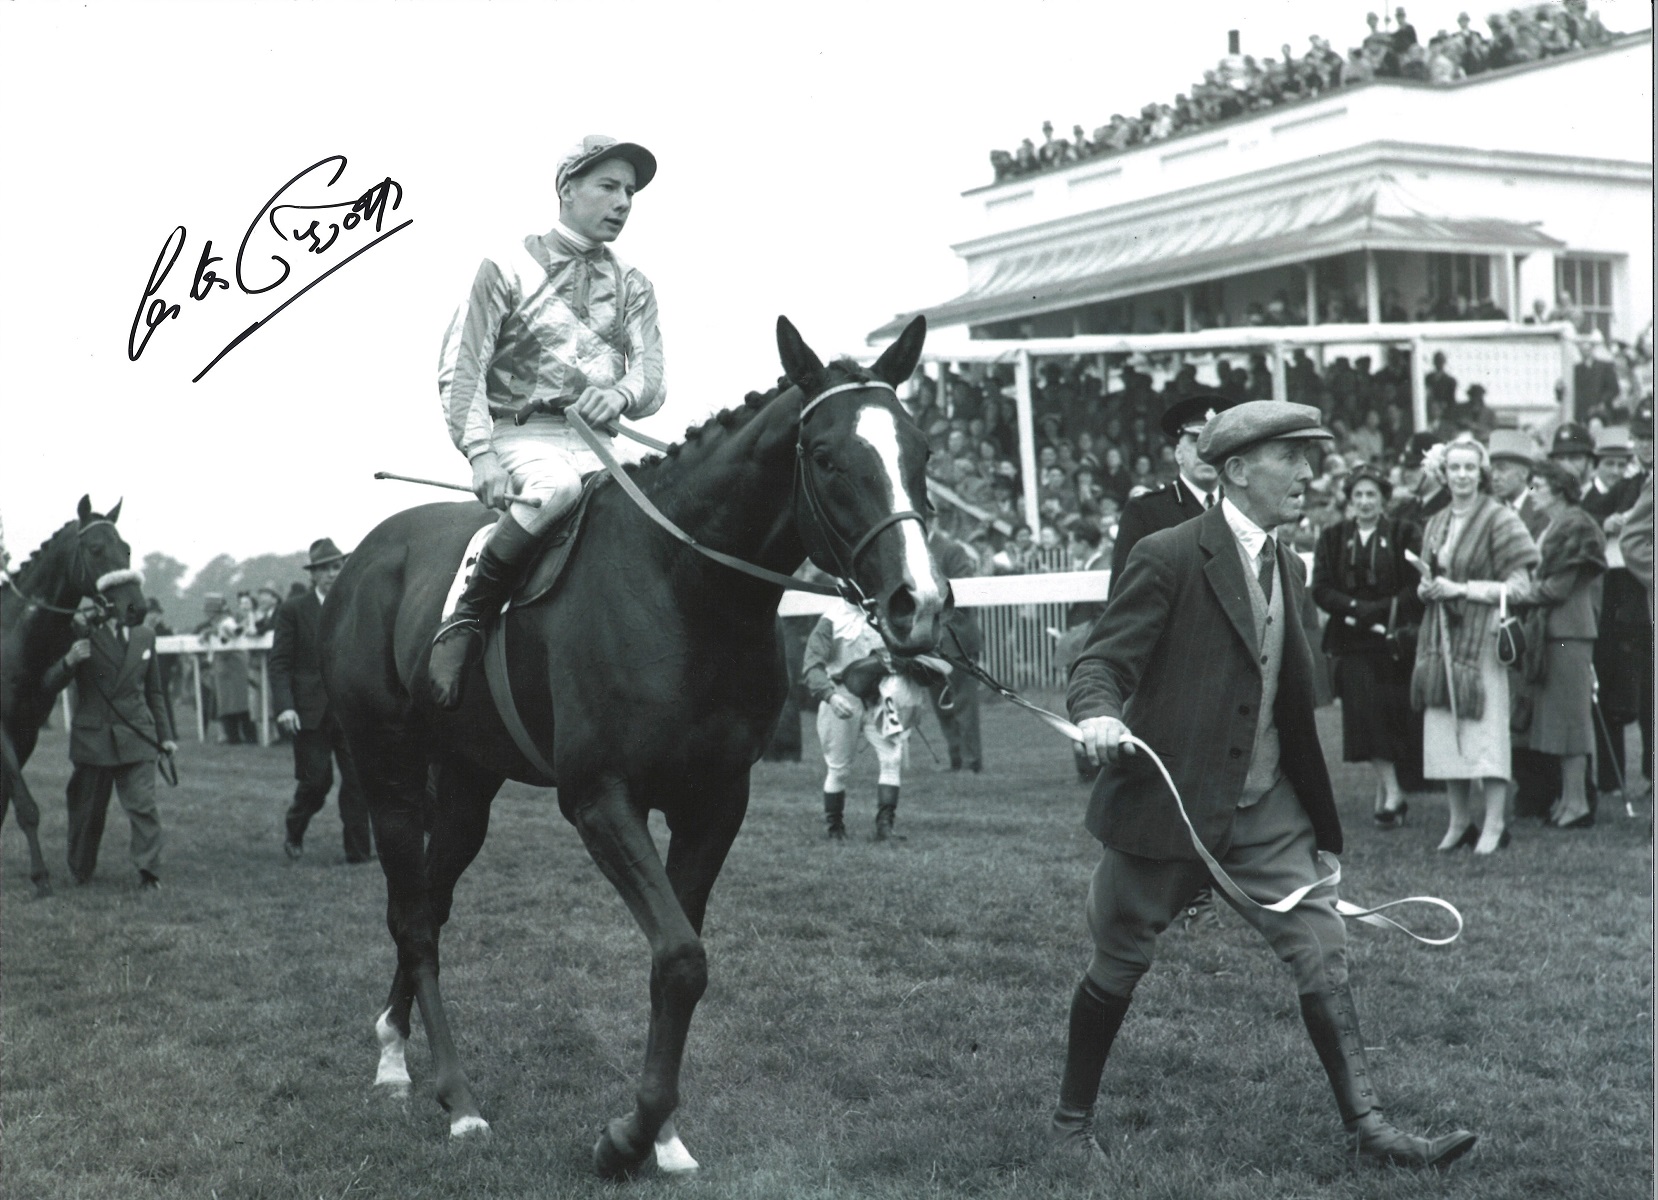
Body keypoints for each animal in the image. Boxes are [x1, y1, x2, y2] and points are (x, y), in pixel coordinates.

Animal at [2, 490, 147, 895]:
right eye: (96, 549)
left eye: (126, 548)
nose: (137, 607)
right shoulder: (2, 728)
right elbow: (25, 806)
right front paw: (41, 877)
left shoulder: (27, 729)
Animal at [323, 313, 948, 1173]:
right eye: (826, 457)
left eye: (922, 453)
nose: (919, 603)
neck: (683, 586)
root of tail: (366, 555)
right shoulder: (599, 799)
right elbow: (681, 957)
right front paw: (626, 1138)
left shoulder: (715, 799)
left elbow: (677, 960)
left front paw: (663, 1138)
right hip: (386, 771)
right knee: (414, 919)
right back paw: (455, 1096)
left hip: (466, 784)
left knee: (429, 906)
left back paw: (395, 1046)